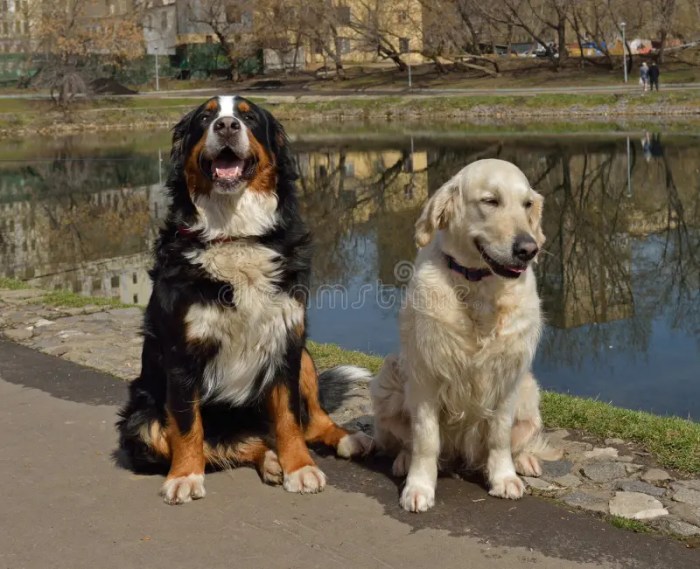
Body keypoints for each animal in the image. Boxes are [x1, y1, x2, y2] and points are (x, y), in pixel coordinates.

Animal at [117, 95, 374, 504]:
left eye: (249, 117)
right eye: (205, 117)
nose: (225, 125)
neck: (236, 234)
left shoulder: (286, 339)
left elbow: (289, 418)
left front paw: (300, 467)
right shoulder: (181, 355)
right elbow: (187, 426)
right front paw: (185, 476)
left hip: (304, 356)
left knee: (312, 421)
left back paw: (346, 439)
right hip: (141, 421)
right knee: (225, 443)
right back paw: (267, 459)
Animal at [372, 159, 556, 510]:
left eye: (527, 204)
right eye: (490, 201)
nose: (529, 249)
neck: (478, 286)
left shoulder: (507, 376)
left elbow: (499, 437)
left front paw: (503, 477)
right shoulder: (426, 374)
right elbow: (425, 439)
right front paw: (419, 487)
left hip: (529, 389)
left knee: (520, 439)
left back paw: (524, 460)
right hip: (389, 376)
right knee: (405, 440)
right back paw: (404, 460)